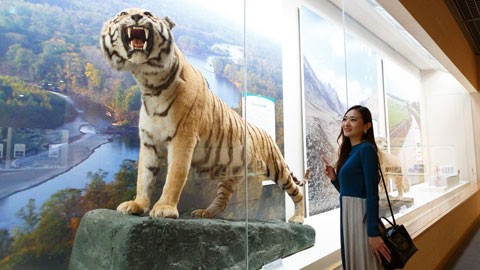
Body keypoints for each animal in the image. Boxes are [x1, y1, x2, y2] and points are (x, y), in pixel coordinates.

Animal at [101, 8, 310, 224]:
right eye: (122, 13)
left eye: (148, 13)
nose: (135, 17)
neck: (151, 86)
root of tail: (268, 134)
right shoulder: (149, 141)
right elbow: (144, 177)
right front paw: (137, 205)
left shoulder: (183, 139)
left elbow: (174, 176)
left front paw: (164, 208)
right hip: (229, 176)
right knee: (222, 200)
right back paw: (205, 213)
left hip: (277, 168)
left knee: (297, 192)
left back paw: (298, 218)